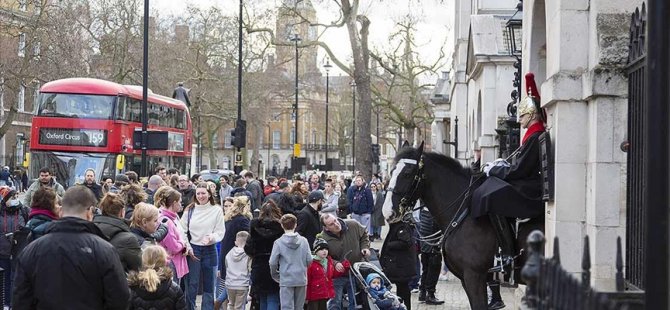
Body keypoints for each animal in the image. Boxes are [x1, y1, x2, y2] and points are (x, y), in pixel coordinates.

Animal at [384, 142, 544, 308]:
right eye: (391, 171)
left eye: (407, 173)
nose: (387, 211)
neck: (463, 213)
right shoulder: (465, 279)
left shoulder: (474, 276)